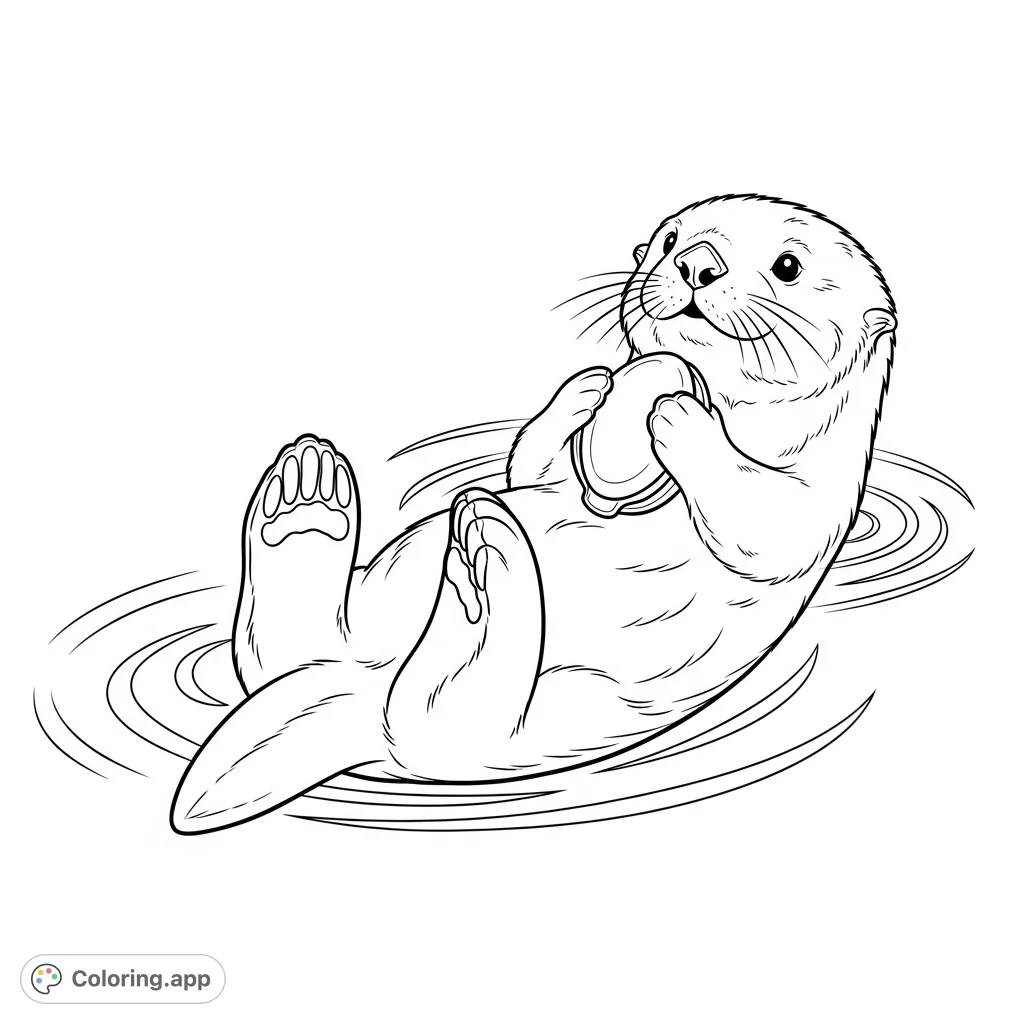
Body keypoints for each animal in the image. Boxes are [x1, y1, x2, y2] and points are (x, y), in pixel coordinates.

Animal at [171, 194, 896, 834]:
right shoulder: (553, 468)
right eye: (669, 240)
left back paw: (479, 556)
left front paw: (671, 406)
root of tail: (356, 696)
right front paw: (593, 389)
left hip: (515, 728)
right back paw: (309, 499)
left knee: (432, 708)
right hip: (379, 605)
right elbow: (538, 463)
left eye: (787, 266)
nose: (697, 264)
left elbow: (762, 523)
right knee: (286, 647)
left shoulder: (815, 496)